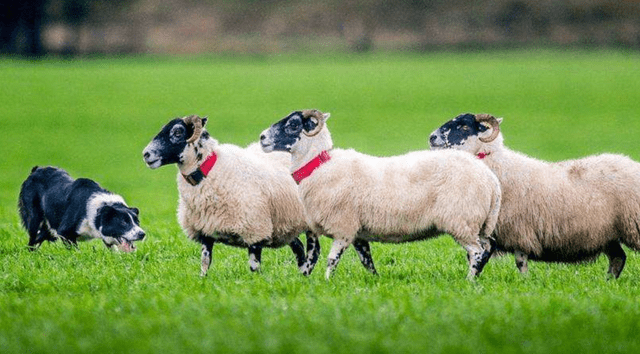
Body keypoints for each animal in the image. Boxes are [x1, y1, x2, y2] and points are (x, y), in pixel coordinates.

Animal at [18, 166, 146, 252]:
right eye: (123, 222)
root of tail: (36, 169)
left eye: (137, 222)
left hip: (49, 229)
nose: (142, 234)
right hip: (35, 219)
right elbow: (74, 251)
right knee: (33, 238)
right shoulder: (64, 232)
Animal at [142, 115, 318, 276]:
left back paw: (307, 274)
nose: (146, 154)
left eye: (177, 132)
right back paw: (302, 274)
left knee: (313, 251)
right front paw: (202, 280)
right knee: (298, 246)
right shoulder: (206, 230)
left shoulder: (255, 230)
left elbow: (254, 266)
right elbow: (205, 261)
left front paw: (257, 282)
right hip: (284, 225)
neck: (210, 171)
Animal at [258, 110, 502, 280]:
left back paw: (468, 281)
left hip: (462, 220)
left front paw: (326, 283)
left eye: (293, 124)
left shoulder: (343, 227)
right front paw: (375, 281)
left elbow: (331, 260)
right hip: (479, 223)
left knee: (477, 253)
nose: (262, 137)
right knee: (486, 249)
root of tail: (491, 180)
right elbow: (366, 261)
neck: (319, 166)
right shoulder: (357, 231)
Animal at [430, 113, 640, 280]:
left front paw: (524, 282)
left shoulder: (519, 229)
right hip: (608, 233)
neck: (496, 164)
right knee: (618, 258)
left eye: (465, 126)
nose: (432, 137)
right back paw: (609, 282)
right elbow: (477, 256)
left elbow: (519, 261)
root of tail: (632, 164)